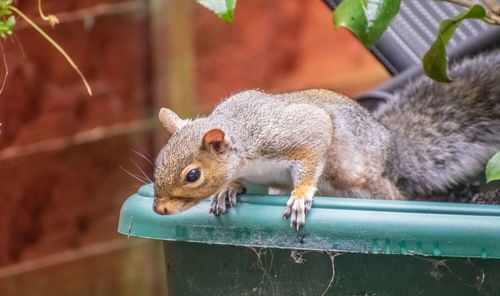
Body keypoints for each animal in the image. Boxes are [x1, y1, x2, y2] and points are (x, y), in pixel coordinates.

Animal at [151, 49, 500, 229]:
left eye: (193, 175)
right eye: (158, 160)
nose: (159, 210)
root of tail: (391, 147)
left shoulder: (291, 133)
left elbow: (312, 147)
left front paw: (301, 196)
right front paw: (228, 190)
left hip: (358, 180)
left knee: (392, 196)